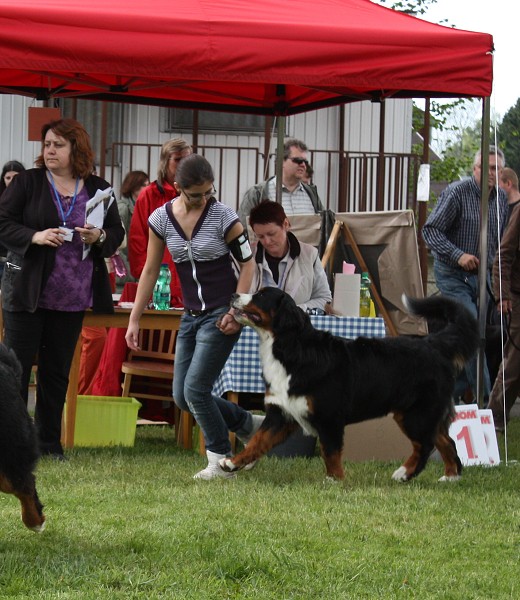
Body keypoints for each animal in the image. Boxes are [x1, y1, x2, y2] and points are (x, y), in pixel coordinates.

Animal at [219, 288, 480, 482]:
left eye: (261, 295)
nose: (232, 294)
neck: (290, 350)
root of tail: (433, 343)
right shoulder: (281, 414)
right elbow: (257, 441)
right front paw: (231, 463)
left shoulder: (328, 416)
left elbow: (330, 451)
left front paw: (334, 479)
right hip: (421, 414)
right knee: (446, 441)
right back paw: (450, 476)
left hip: (416, 414)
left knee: (425, 445)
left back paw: (404, 473)